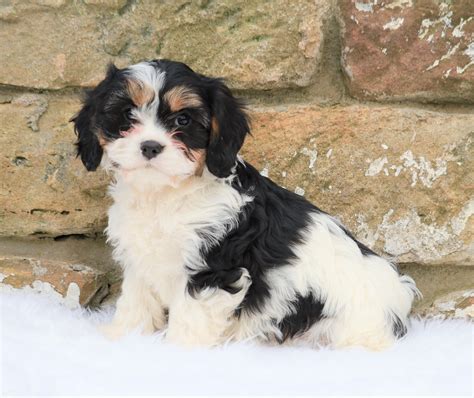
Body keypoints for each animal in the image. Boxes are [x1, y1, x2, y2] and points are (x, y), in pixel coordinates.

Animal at [72, 59, 420, 348]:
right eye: (126, 115)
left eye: (183, 120)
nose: (150, 146)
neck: (166, 195)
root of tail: (398, 299)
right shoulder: (141, 261)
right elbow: (137, 301)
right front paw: (122, 337)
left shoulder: (213, 271)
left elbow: (191, 317)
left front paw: (178, 352)